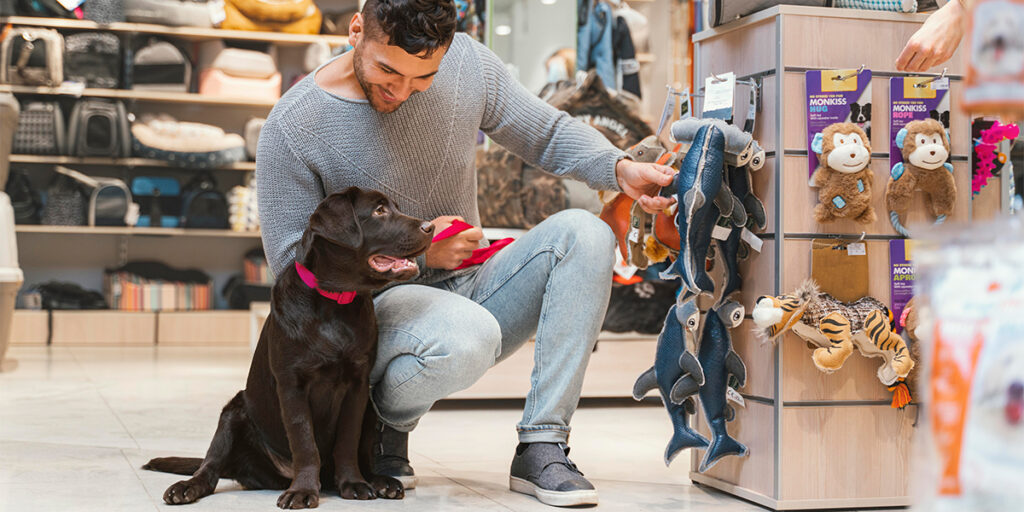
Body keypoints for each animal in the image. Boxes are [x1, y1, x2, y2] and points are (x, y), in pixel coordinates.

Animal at [143, 188, 432, 507]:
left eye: (395, 207)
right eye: (380, 211)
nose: (430, 227)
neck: (334, 301)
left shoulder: (357, 386)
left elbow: (346, 441)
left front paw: (353, 484)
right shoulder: (292, 384)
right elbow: (304, 441)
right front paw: (303, 490)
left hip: (369, 410)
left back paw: (380, 481)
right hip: (233, 412)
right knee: (210, 467)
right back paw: (187, 487)